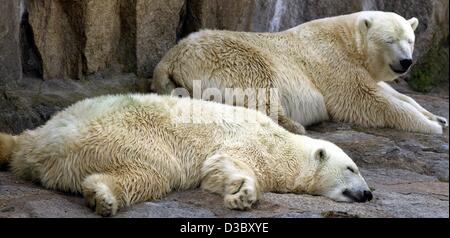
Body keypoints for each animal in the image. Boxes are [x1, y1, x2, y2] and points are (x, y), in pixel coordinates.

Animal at [0, 94, 372, 217]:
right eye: (352, 168)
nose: (369, 194)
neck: (281, 145)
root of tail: (46, 148)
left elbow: (217, 174)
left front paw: (238, 193)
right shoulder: (249, 141)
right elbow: (224, 163)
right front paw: (243, 195)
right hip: (125, 137)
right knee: (151, 172)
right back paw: (104, 198)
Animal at [153, 10, 448, 134]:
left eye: (410, 39)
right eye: (389, 40)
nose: (406, 61)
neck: (347, 39)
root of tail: (170, 58)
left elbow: (392, 93)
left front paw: (437, 117)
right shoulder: (332, 62)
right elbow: (363, 99)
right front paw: (430, 126)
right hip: (231, 55)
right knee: (258, 85)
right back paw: (294, 125)